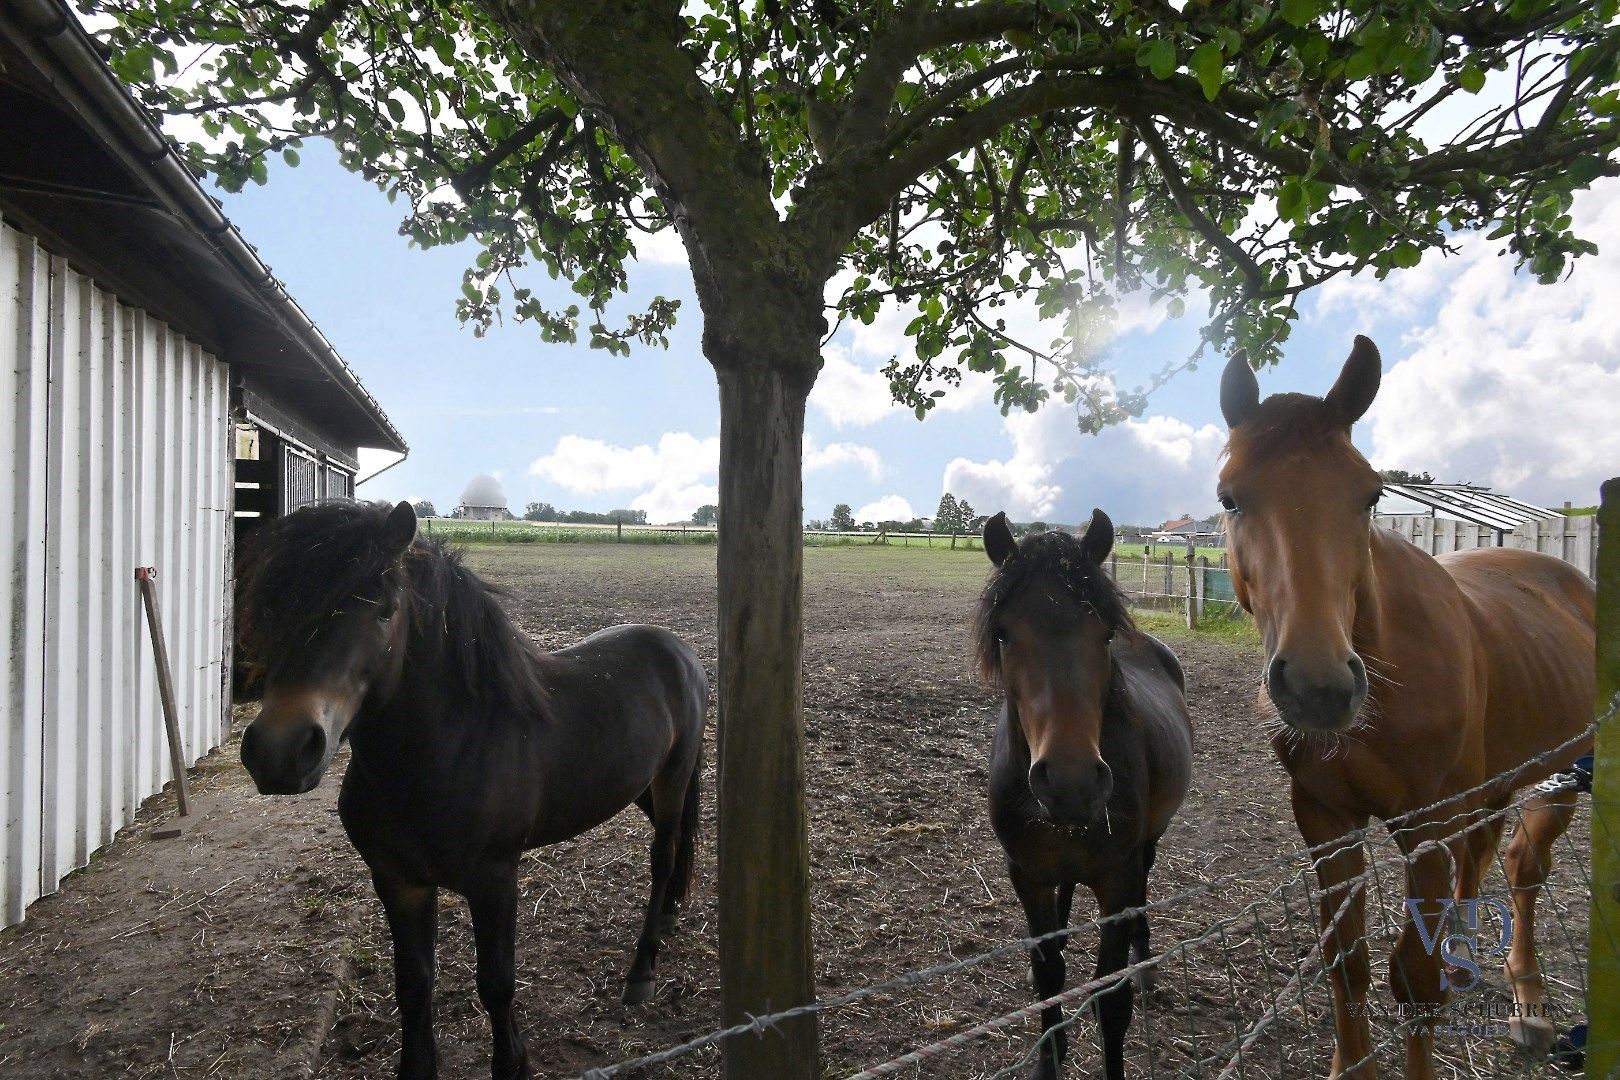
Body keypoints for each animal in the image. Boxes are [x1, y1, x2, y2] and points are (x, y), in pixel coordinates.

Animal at [236, 505, 709, 1080]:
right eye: (274, 606)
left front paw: (513, 1064)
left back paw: (642, 970)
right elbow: (414, 986)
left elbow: (497, 985)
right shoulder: (398, 882)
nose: (280, 751)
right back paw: (670, 918)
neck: (445, 752)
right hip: (640, 785)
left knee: (664, 854)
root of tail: (680, 650)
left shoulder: (494, 881)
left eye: (385, 611)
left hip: (672, 777)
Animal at [972, 508, 1192, 1080]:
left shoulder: (1116, 878)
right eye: (1003, 634)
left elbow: (1111, 1001)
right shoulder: (1027, 875)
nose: (1070, 782)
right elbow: (1049, 973)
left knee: (1143, 892)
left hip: (1147, 845)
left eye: (1105, 633)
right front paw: (1050, 1056)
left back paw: (1144, 962)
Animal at [1218, 333, 1594, 1075]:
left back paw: (1529, 1003)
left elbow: (1414, 982)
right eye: (1230, 498)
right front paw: (1349, 1064)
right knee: (1486, 856)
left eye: (1369, 496)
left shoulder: (1428, 826)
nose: (1320, 688)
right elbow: (1348, 964)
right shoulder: (1326, 820)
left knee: (1525, 870)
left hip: (1567, 772)